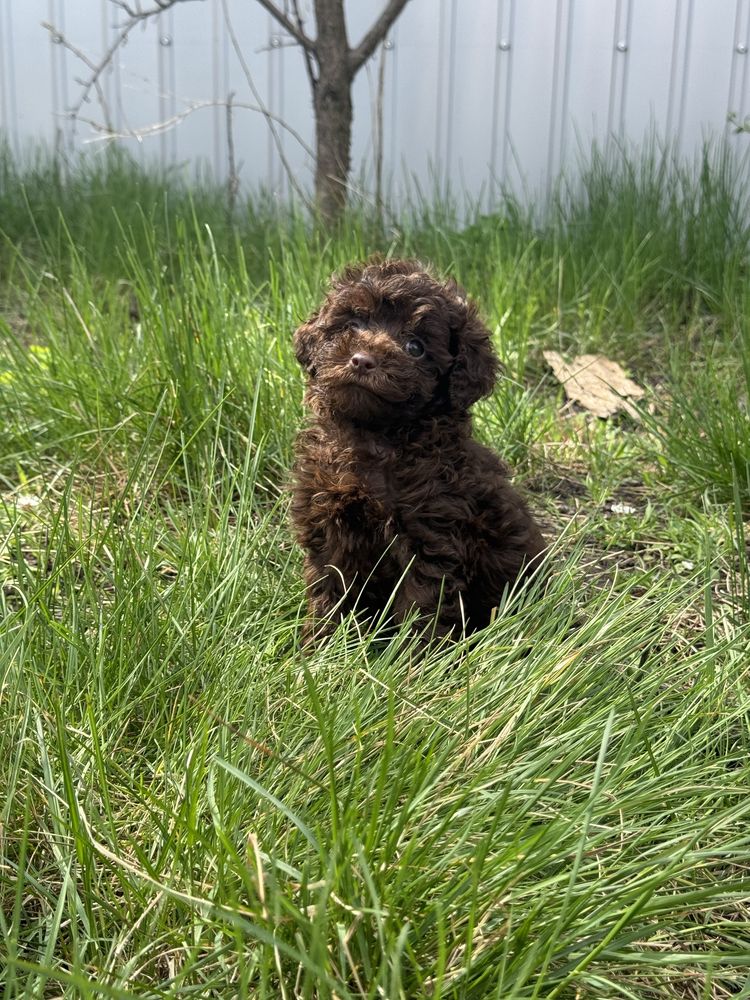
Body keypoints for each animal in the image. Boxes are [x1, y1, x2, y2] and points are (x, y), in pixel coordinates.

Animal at [292, 254, 548, 636]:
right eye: (352, 324)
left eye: (416, 347)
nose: (362, 360)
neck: (376, 438)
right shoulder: (328, 522)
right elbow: (331, 588)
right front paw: (322, 641)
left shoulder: (431, 535)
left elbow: (420, 607)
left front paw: (411, 653)